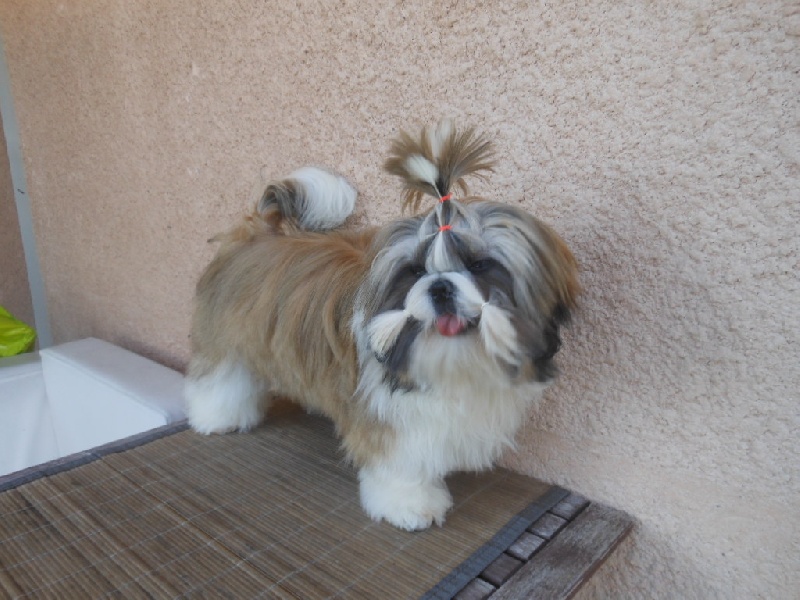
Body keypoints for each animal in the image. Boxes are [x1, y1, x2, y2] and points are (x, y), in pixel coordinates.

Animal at [185, 120, 579, 530]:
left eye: (479, 265)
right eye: (415, 271)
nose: (440, 287)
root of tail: (255, 236)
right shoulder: (390, 416)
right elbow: (401, 463)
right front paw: (409, 503)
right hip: (225, 340)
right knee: (221, 378)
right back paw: (217, 417)